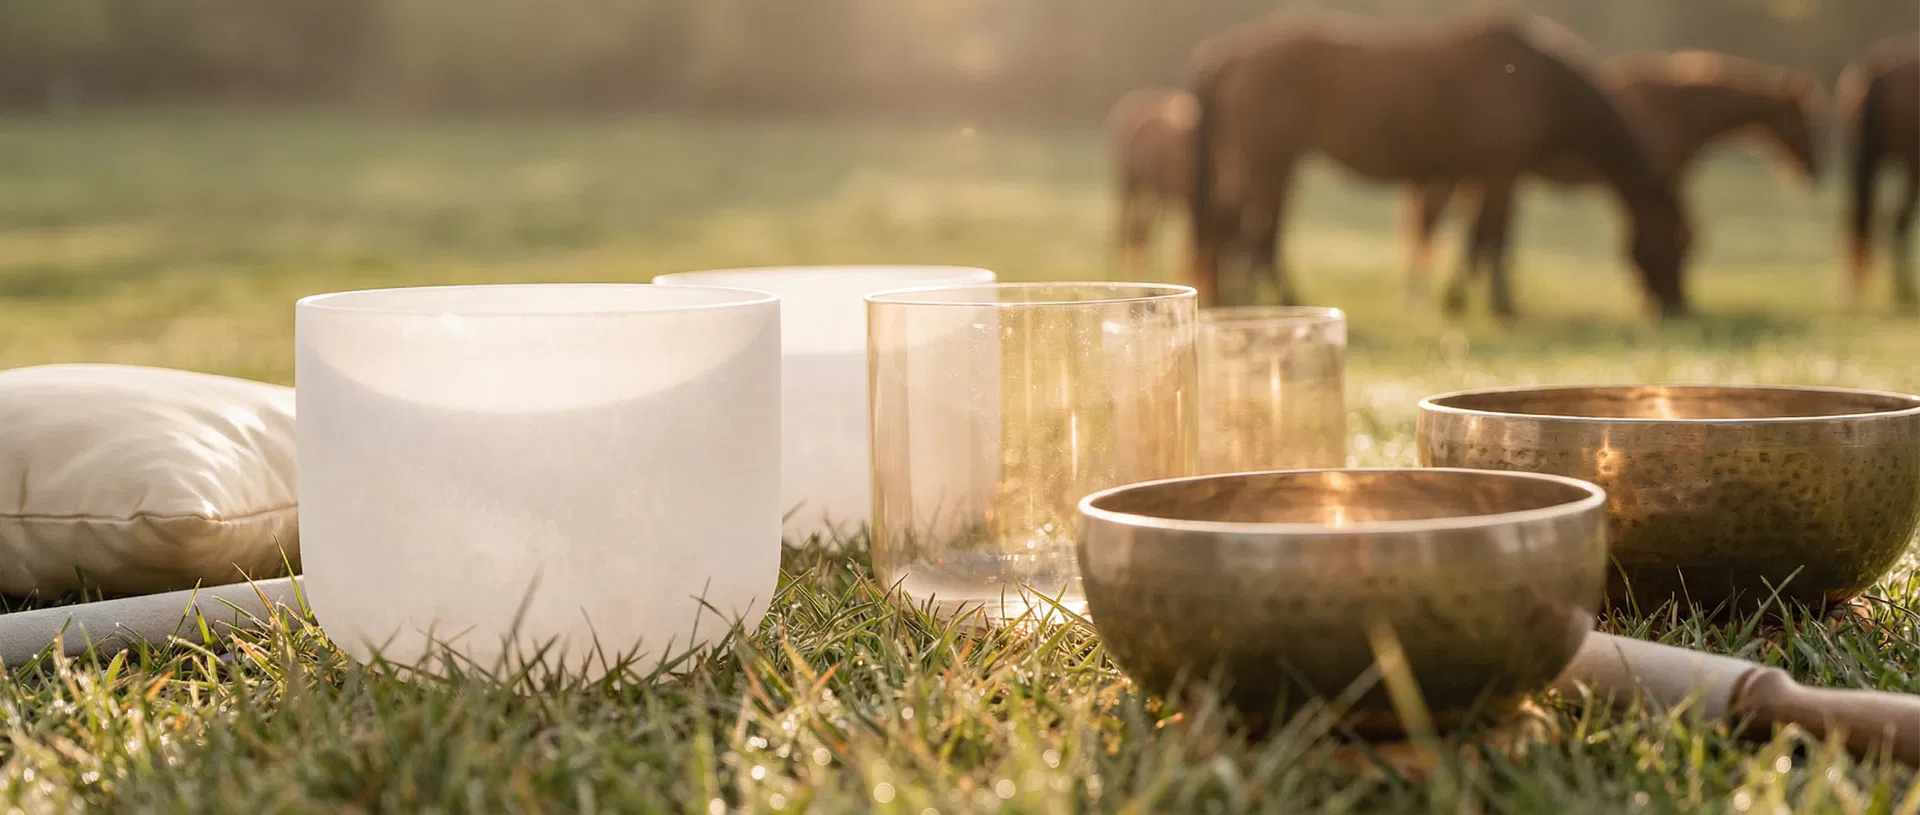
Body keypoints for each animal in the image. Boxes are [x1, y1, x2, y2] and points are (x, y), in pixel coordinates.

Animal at [1186, 9, 1693, 318]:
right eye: (1677, 240)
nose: (1676, 306)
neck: (1539, 81)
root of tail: (1232, 51)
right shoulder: (1500, 169)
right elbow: (1489, 236)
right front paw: (1494, 306)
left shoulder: (1480, 174)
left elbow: (1484, 239)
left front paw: (1467, 300)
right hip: (1267, 159)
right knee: (1248, 232)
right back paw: (1276, 300)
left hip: (1273, 163)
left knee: (1246, 231)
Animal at [1404, 50, 1825, 312]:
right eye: (1806, 120)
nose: (1814, 171)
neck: (1681, 106)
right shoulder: (1654, 178)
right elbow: (1666, 231)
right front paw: (1647, 294)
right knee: (1470, 230)